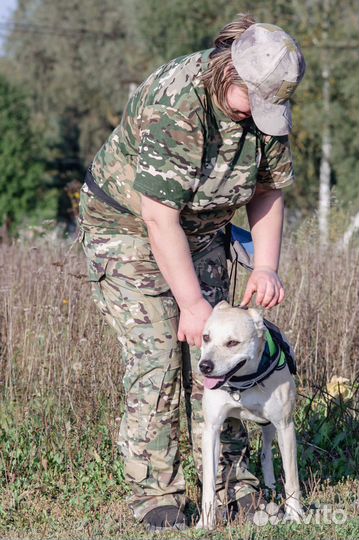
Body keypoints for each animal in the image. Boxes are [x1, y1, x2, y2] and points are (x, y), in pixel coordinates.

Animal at [198, 302, 302, 528]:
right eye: (206, 337)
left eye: (232, 343)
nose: (205, 366)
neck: (243, 382)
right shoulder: (211, 430)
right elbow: (209, 481)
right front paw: (206, 522)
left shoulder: (286, 426)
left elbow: (292, 476)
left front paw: (295, 514)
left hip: (272, 425)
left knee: (265, 453)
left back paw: (271, 487)